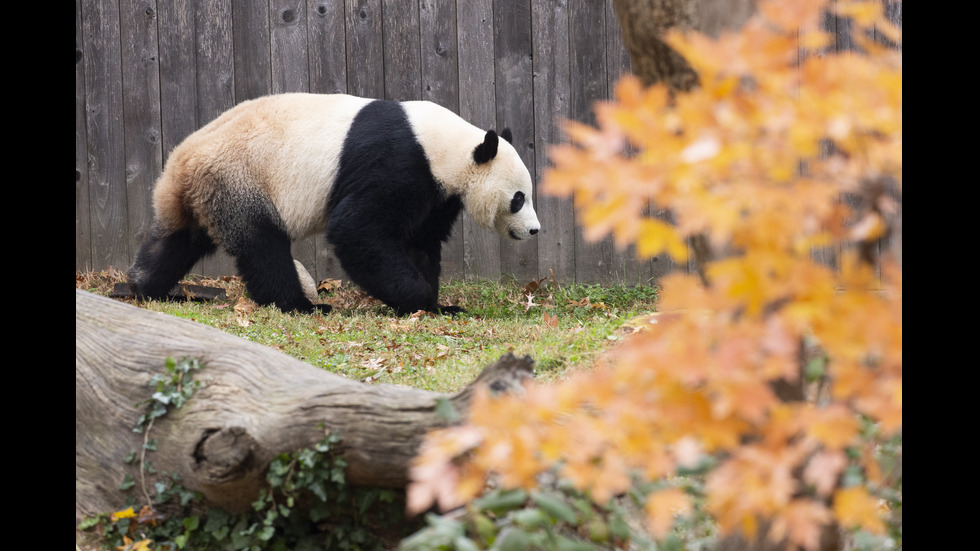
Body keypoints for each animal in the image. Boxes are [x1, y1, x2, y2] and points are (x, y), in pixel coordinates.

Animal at [126, 94, 540, 314]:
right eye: (519, 198)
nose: (535, 230)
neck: (446, 146)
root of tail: (179, 163)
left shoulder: (434, 190)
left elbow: (420, 241)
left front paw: (436, 304)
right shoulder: (398, 161)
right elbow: (358, 230)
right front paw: (419, 300)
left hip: (208, 193)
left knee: (177, 242)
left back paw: (144, 287)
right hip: (240, 180)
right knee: (263, 247)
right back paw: (301, 305)